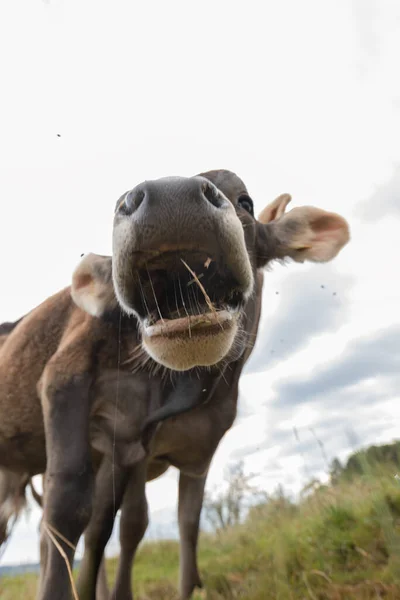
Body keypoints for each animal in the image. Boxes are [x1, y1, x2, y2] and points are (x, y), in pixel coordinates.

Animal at [0, 170, 350, 600]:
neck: (187, 385)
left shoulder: (182, 449)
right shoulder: (67, 382)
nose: (171, 197)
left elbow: (174, 524)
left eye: (245, 202)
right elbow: (73, 512)